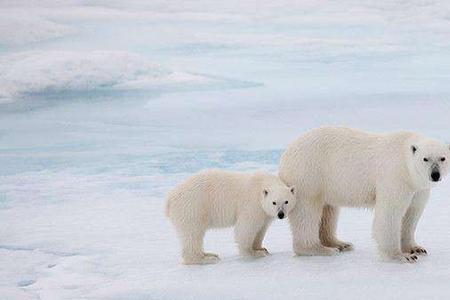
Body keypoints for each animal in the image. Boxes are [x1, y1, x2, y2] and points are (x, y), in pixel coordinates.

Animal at [280, 126, 448, 262]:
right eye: (425, 159)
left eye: (443, 158)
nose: (435, 174)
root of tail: (286, 152)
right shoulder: (394, 177)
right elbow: (390, 214)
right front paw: (401, 256)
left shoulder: (418, 188)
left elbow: (412, 214)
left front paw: (416, 248)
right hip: (309, 175)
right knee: (307, 213)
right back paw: (320, 249)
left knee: (328, 211)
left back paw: (340, 244)